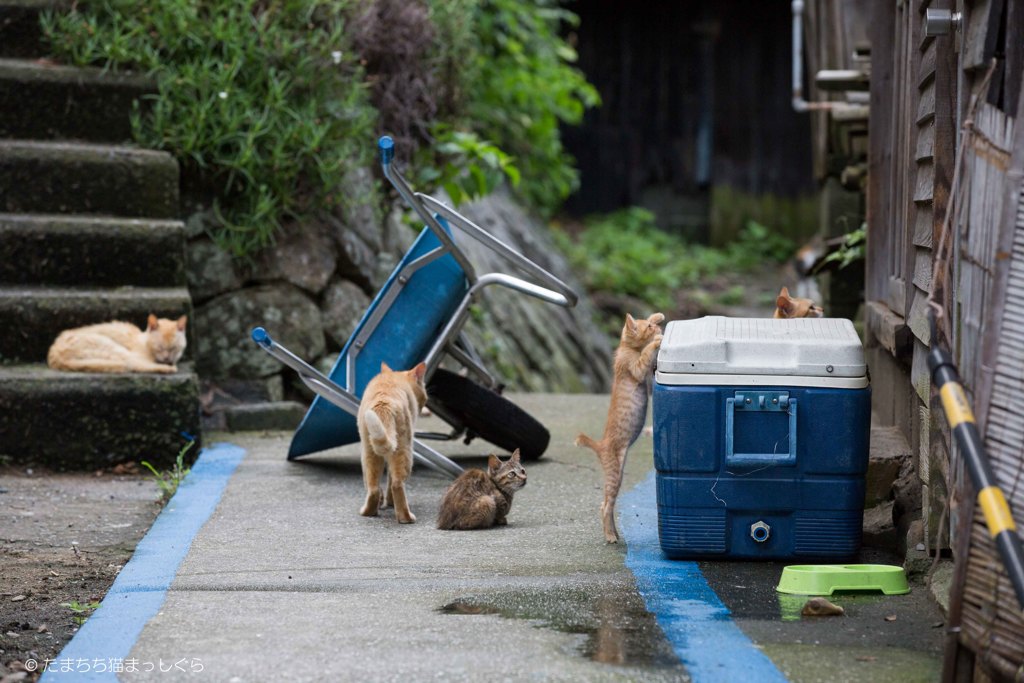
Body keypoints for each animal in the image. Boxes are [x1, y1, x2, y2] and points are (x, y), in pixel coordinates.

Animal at [46, 315, 188, 374]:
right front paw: (167, 365)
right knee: (134, 365)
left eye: (174, 348)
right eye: (159, 347)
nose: (167, 358)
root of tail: (54, 354)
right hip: (112, 347)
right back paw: (169, 369)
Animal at [356, 362, 428, 524]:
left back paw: (368, 511)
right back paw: (406, 517)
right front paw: (389, 502)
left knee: (373, 487)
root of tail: (383, 402)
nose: (422, 407)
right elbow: (390, 480)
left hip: (368, 451)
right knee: (396, 484)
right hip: (404, 450)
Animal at [577, 313, 663, 540]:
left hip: (619, 474)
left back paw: (613, 533)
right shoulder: (637, 368)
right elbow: (646, 355)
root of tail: (600, 445)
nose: (658, 328)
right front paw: (657, 340)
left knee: (606, 503)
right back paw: (610, 536)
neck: (627, 347)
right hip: (614, 475)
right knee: (605, 506)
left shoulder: (645, 372)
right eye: (648, 327)